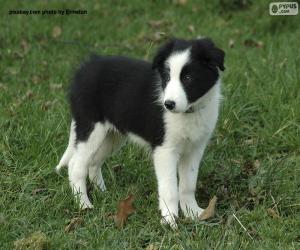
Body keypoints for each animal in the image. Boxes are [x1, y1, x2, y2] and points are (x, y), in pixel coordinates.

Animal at [55, 37, 225, 227]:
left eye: (188, 78)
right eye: (166, 77)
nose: (168, 104)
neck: (189, 112)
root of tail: (84, 68)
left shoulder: (195, 148)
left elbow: (188, 185)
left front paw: (193, 213)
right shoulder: (165, 150)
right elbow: (169, 188)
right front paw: (170, 221)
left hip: (112, 136)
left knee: (93, 163)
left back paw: (103, 193)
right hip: (91, 128)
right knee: (75, 166)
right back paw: (84, 204)